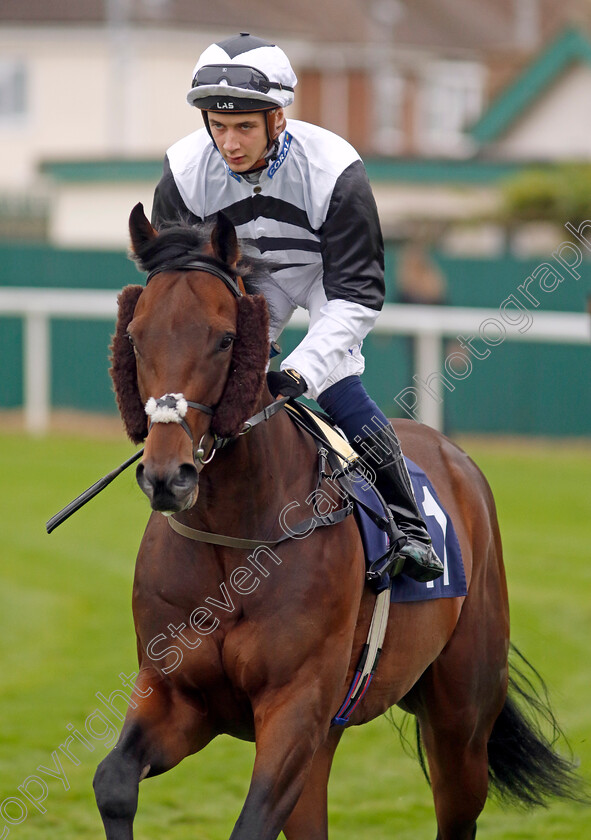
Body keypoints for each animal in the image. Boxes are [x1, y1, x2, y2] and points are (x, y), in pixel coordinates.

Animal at [95, 205, 584, 840]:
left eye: (225, 338)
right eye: (134, 336)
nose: (166, 476)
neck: (237, 546)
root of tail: (455, 456)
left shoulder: (296, 705)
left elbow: (249, 823)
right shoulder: (180, 695)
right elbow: (112, 781)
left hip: (462, 719)